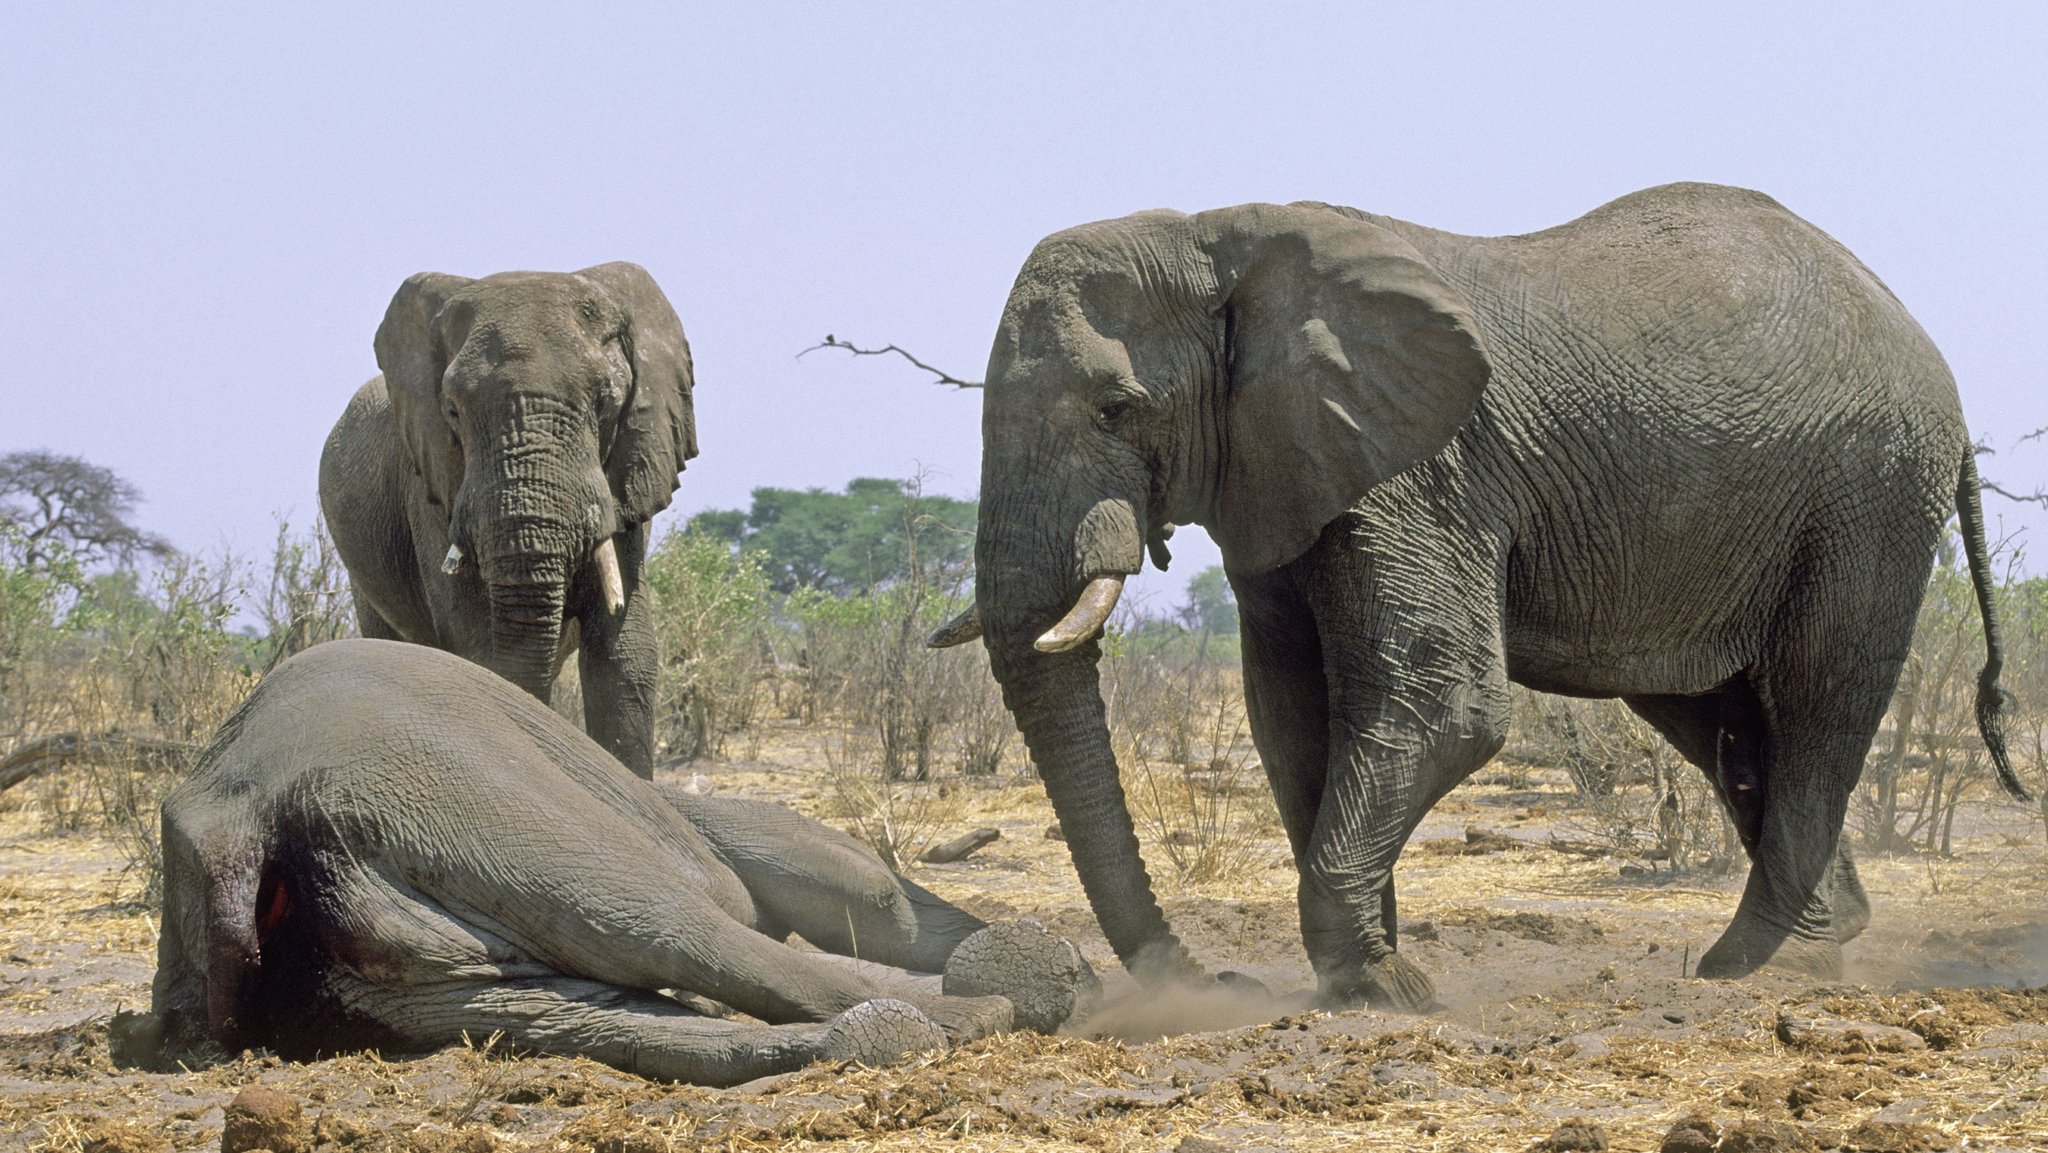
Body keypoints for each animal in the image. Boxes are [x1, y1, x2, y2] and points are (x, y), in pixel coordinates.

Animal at [116, 634, 1089, 1089]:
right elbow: (858, 895)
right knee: (675, 925)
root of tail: (248, 815)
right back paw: (1002, 1001)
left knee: (571, 1015)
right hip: (463, 800)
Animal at [317, 266, 696, 782]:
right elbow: (482, 647)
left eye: (605, 404)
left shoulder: (628, 476)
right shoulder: (433, 483)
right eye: (451, 411)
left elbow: (624, 658)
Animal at [937, 178, 2023, 1011]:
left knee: (1815, 699)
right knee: (1719, 718)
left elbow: (1442, 702)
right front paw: (1366, 979)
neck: (1215, 234)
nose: (1211, 982)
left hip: (1867, 494)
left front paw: (1389, 992)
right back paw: (1810, 943)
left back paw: (1758, 968)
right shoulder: (1284, 473)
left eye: (1117, 408)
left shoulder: (1423, 473)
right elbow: (1290, 715)